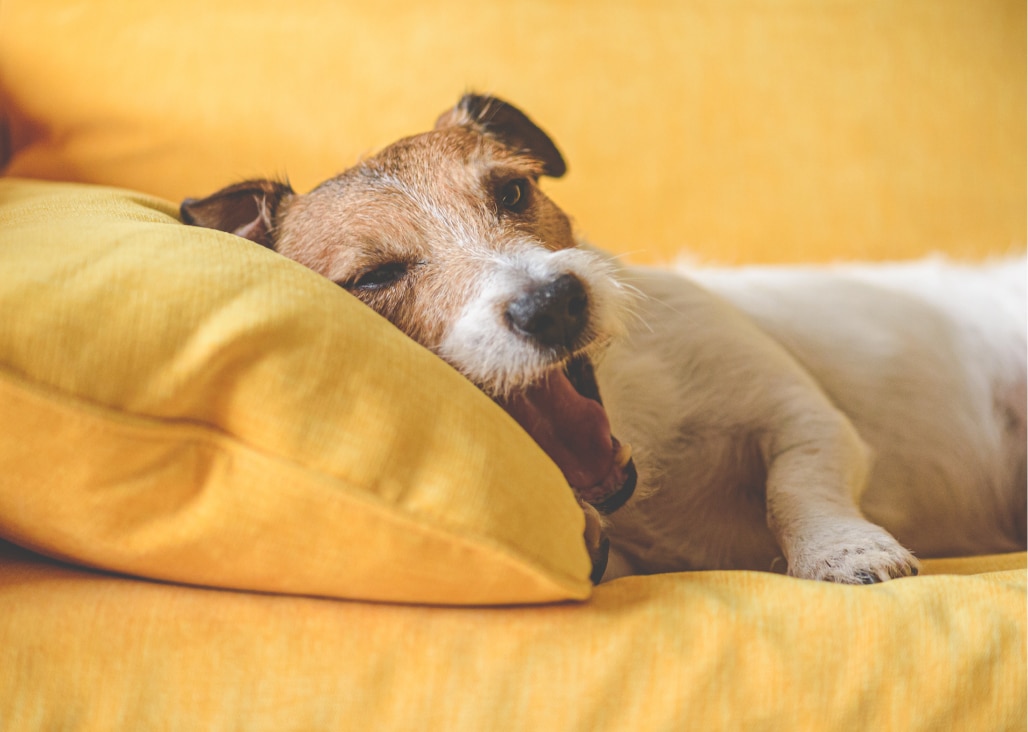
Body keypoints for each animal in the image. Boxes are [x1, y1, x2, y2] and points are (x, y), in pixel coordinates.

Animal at [180, 93, 1023, 583]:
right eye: (376, 275)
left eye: (513, 190)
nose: (554, 303)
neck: (645, 451)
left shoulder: (802, 416)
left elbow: (798, 483)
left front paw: (844, 549)